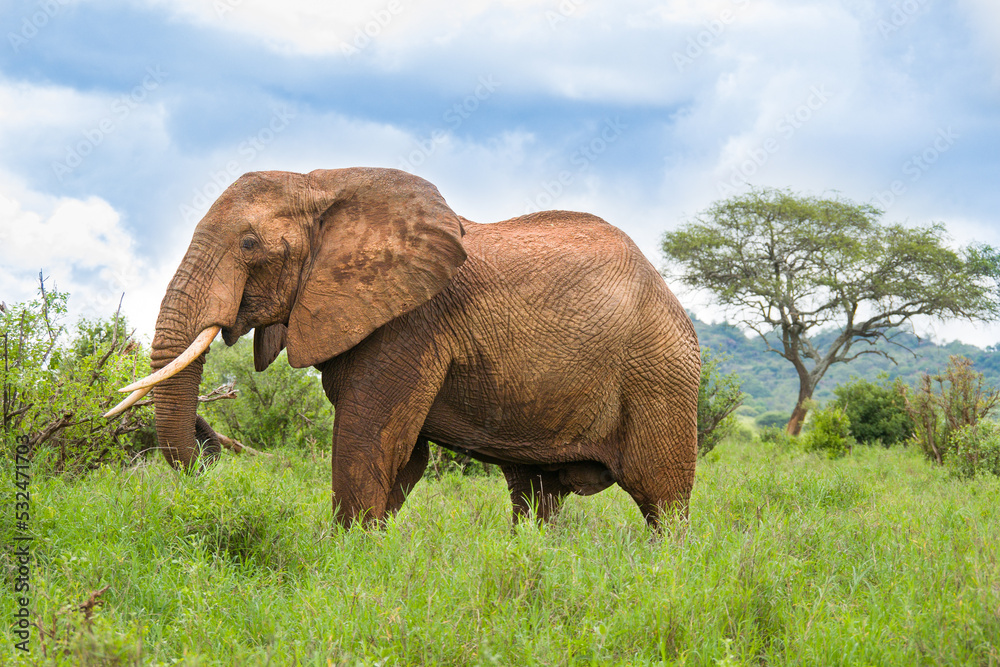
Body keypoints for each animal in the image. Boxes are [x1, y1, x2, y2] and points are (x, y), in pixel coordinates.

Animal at [108, 167, 700, 529]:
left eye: (250, 244)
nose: (209, 444)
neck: (321, 185)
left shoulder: (412, 324)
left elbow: (367, 441)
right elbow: (402, 455)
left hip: (661, 373)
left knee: (662, 498)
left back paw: (663, 574)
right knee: (534, 493)